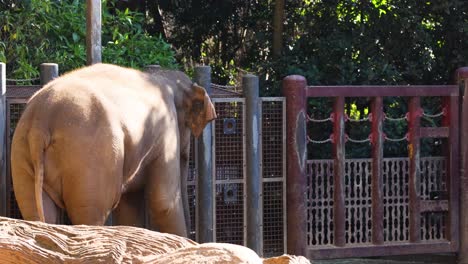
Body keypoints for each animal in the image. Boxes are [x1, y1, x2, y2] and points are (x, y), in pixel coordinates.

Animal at [10, 64, 216, 237]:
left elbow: (129, 206)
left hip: (21, 152)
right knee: (90, 214)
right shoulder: (165, 130)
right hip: (89, 157)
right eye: (188, 125)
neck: (163, 76)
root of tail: (41, 122)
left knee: (35, 212)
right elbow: (164, 202)